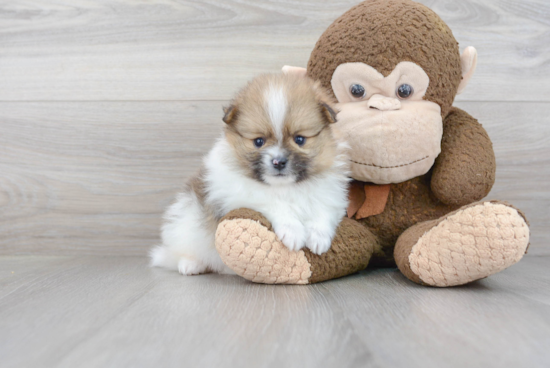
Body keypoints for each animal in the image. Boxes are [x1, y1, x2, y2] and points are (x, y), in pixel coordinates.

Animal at [149, 73, 352, 274]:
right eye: (258, 141)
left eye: (300, 139)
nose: (278, 162)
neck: (284, 187)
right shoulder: (241, 195)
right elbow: (276, 205)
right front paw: (293, 231)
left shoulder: (329, 195)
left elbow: (322, 211)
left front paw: (319, 237)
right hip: (185, 223)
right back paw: (190, 264)